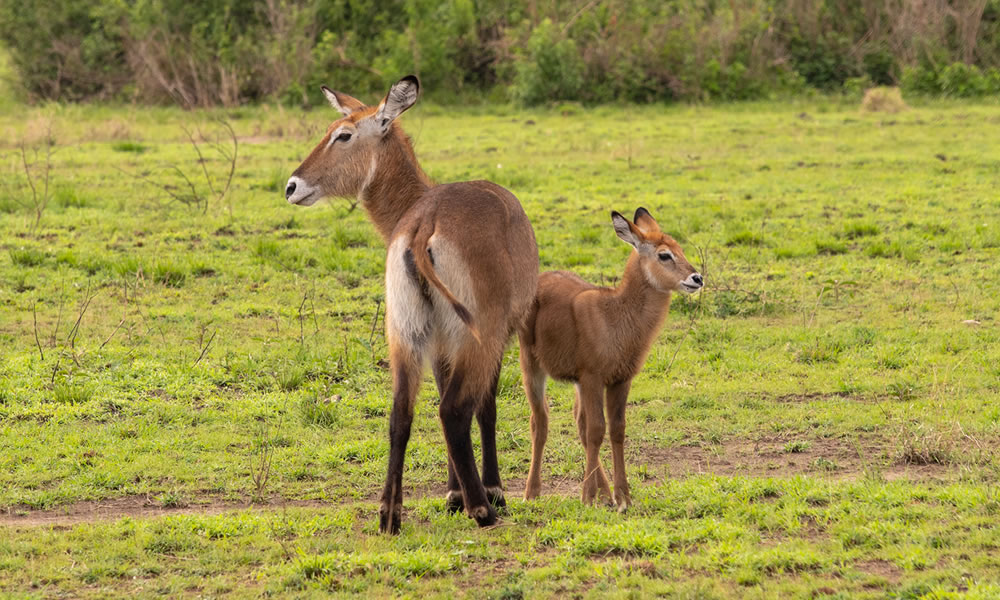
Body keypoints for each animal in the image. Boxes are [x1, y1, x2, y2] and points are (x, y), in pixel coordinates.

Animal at [286, 76, 540, 536]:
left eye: (342, 134)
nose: (292, 187)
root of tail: (426, 222)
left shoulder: (438, 343)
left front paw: (452, 494)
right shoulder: (495, 337)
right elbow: (487, 407)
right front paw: (488, 491)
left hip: (404, 334)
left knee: (401, 413)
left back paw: (390, 515)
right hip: (477, 334)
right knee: (454, 410)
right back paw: (483, 509)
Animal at [516, 207, 704, 510]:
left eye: (680, 249)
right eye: (664, 254)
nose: (697, 278)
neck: (616, 315)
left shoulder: (619, 380)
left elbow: (616, 430)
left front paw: (623, 497)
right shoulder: (593, 378)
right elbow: (596, 430)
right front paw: (587, 496)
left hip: (577, 383)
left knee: (579, 424)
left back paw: (605, 493)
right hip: (532, 367)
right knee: (540, 422)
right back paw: (532, 492)